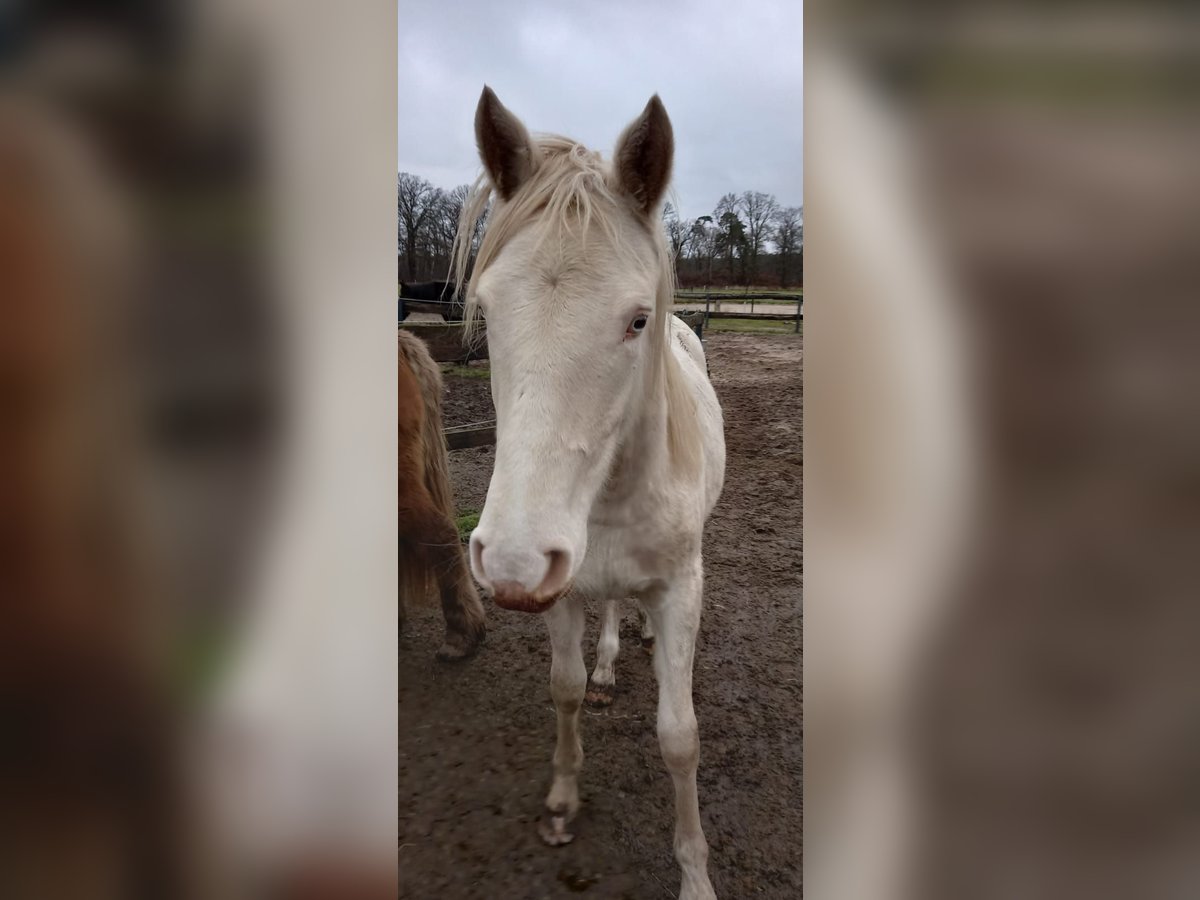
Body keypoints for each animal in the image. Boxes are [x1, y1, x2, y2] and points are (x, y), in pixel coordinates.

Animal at [451, 86, 720, 900]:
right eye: (486, 311)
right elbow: (564, 689)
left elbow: (679, 737)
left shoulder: (679, 591)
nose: (509, 561)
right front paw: (563, 800)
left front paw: (695, 873)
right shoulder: (560, 588)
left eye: (637, 319)